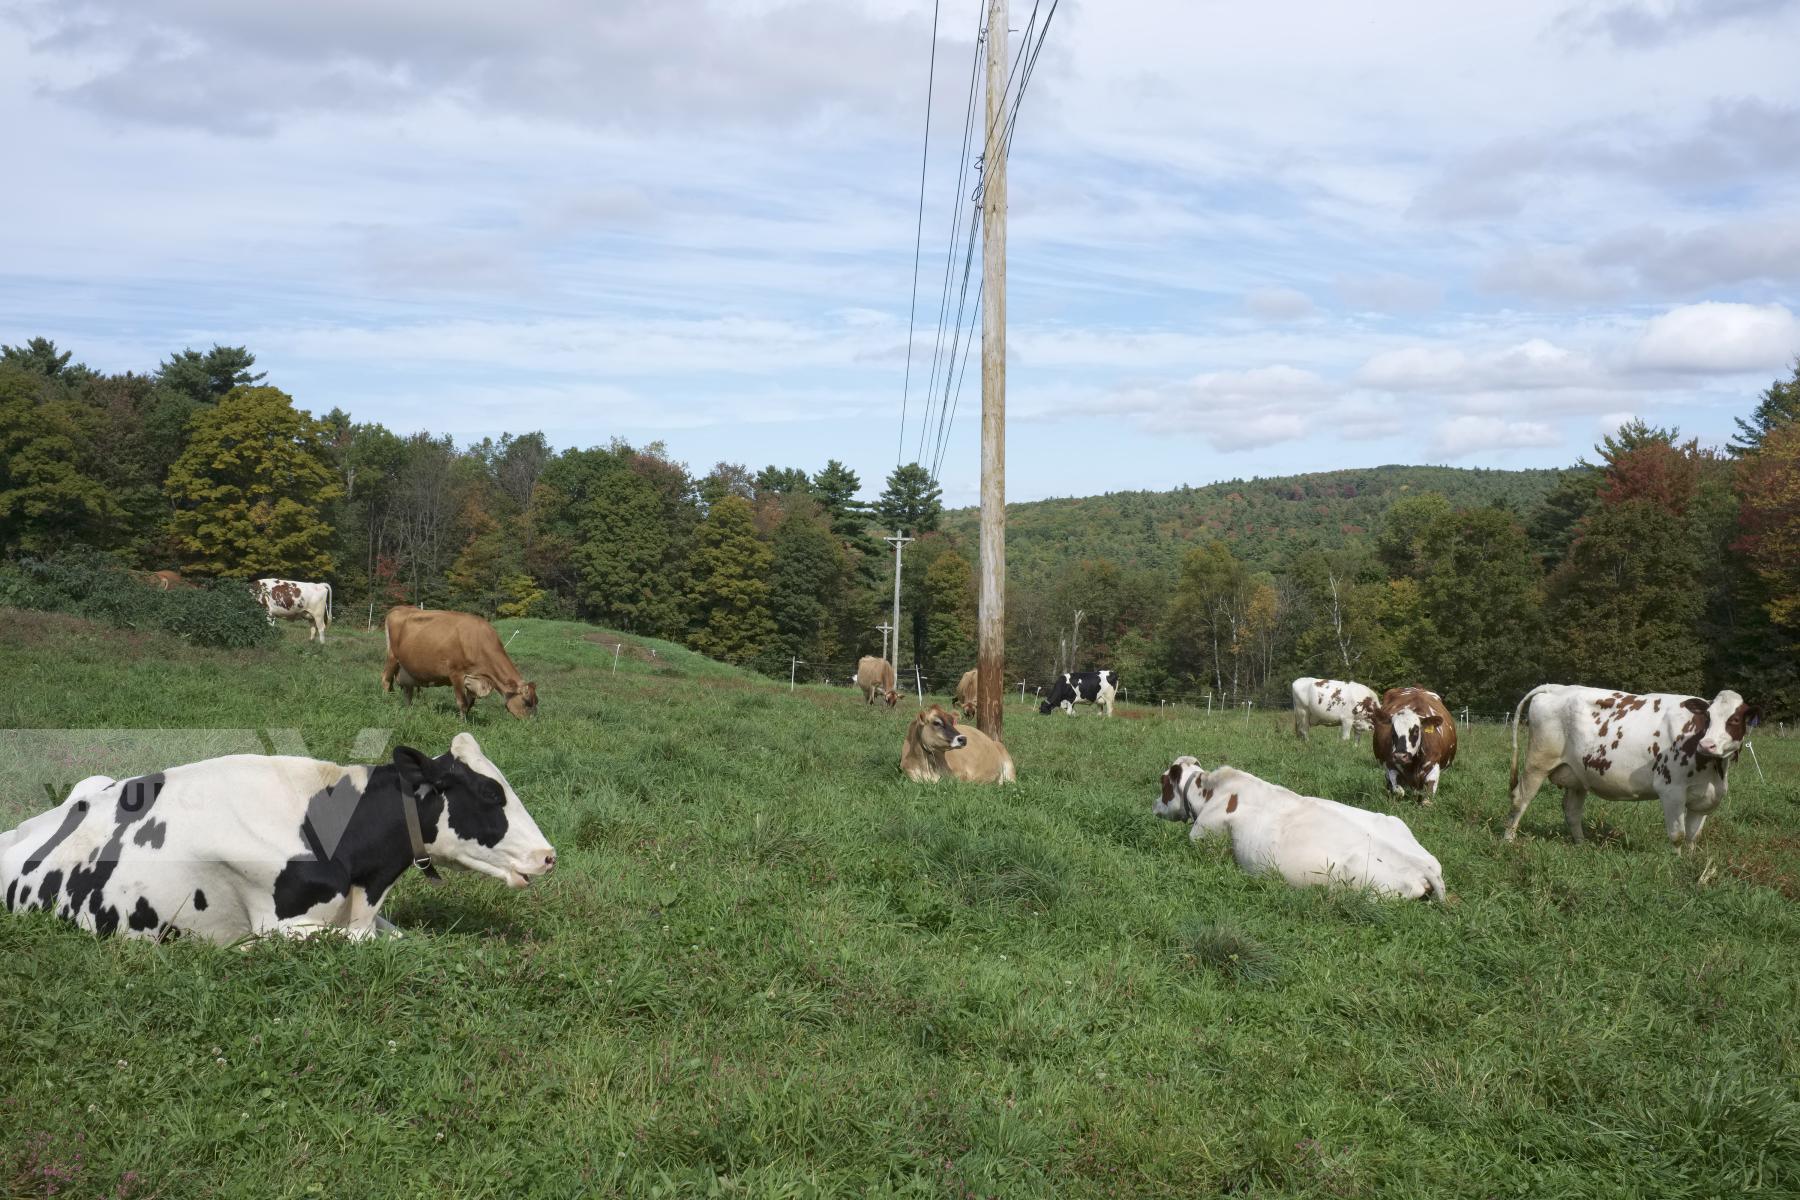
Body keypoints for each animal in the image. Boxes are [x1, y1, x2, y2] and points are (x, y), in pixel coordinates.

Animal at [383, 604, 536, 719]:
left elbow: (470, 703)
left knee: (407, 691)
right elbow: (462, 702)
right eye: (527, 701)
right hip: (392, 657)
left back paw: (409, 709)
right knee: (386, 680)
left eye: (536, 701)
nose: (530, 723)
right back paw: (387, 702)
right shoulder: (456, 673)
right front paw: (462, 724)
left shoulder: (473, 679)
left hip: (406, 669)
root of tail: (400, 608)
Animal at [1504, 683, 1756, 852]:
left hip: (1577, 774)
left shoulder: (1706, 798)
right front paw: (1675, 865)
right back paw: (1508, 841)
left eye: (1734, 720)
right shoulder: (1671, 791)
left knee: (1572, 811)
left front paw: (1688, 863)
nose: (1707, 744)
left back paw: (1582, 845)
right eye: (1708, 717)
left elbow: (1692, 837)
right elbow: (1677, 835)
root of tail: (1555, 687)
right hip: (1538, 762)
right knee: (1520, 799)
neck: (1713, 770)